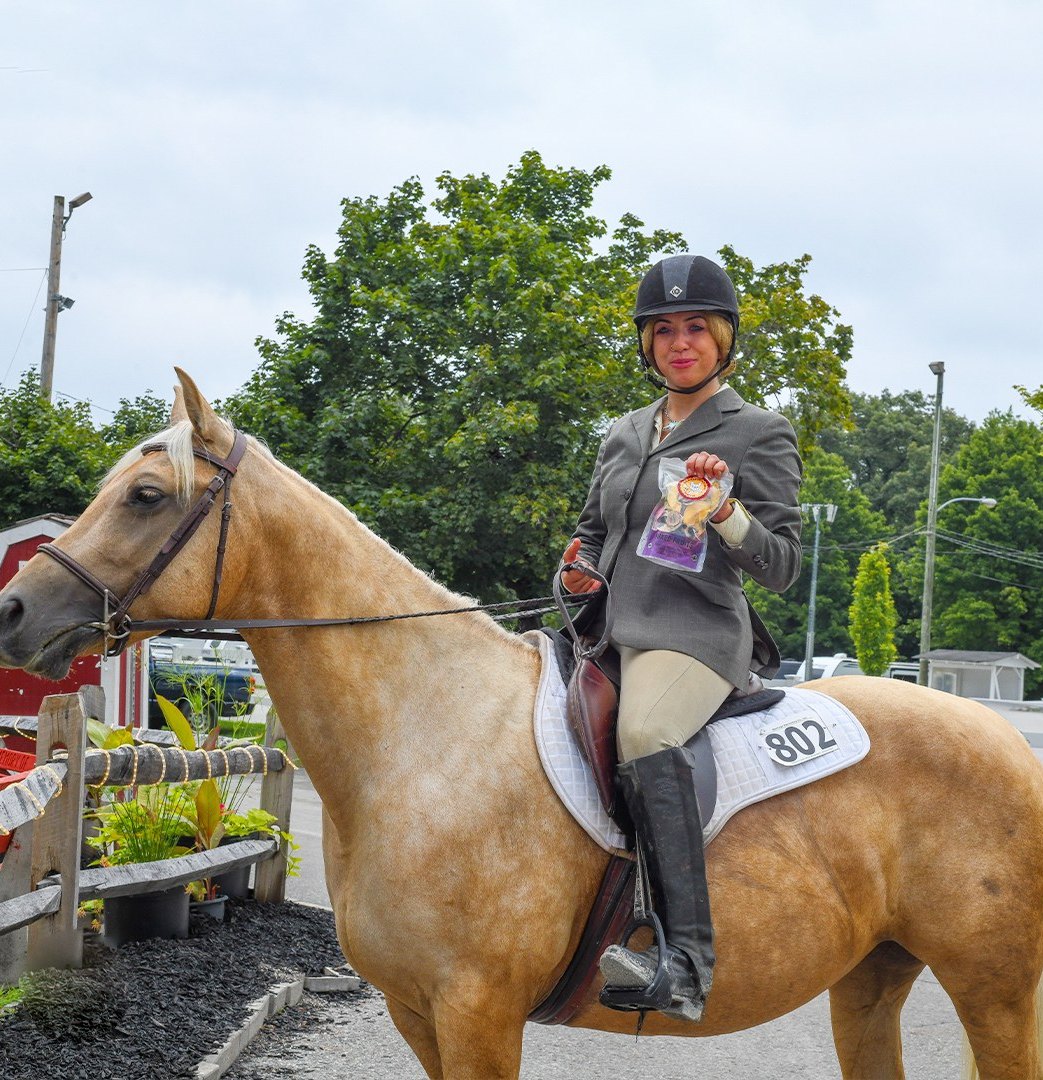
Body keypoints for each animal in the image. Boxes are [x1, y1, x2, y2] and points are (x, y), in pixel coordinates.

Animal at [1, 368, 1042, 1080]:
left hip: (993, 990)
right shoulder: (417, 1012)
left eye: (145, 497)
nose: (14, 609)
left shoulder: (478, 1012)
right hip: (871, 976)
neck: (422, 736)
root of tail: (1010, 743)